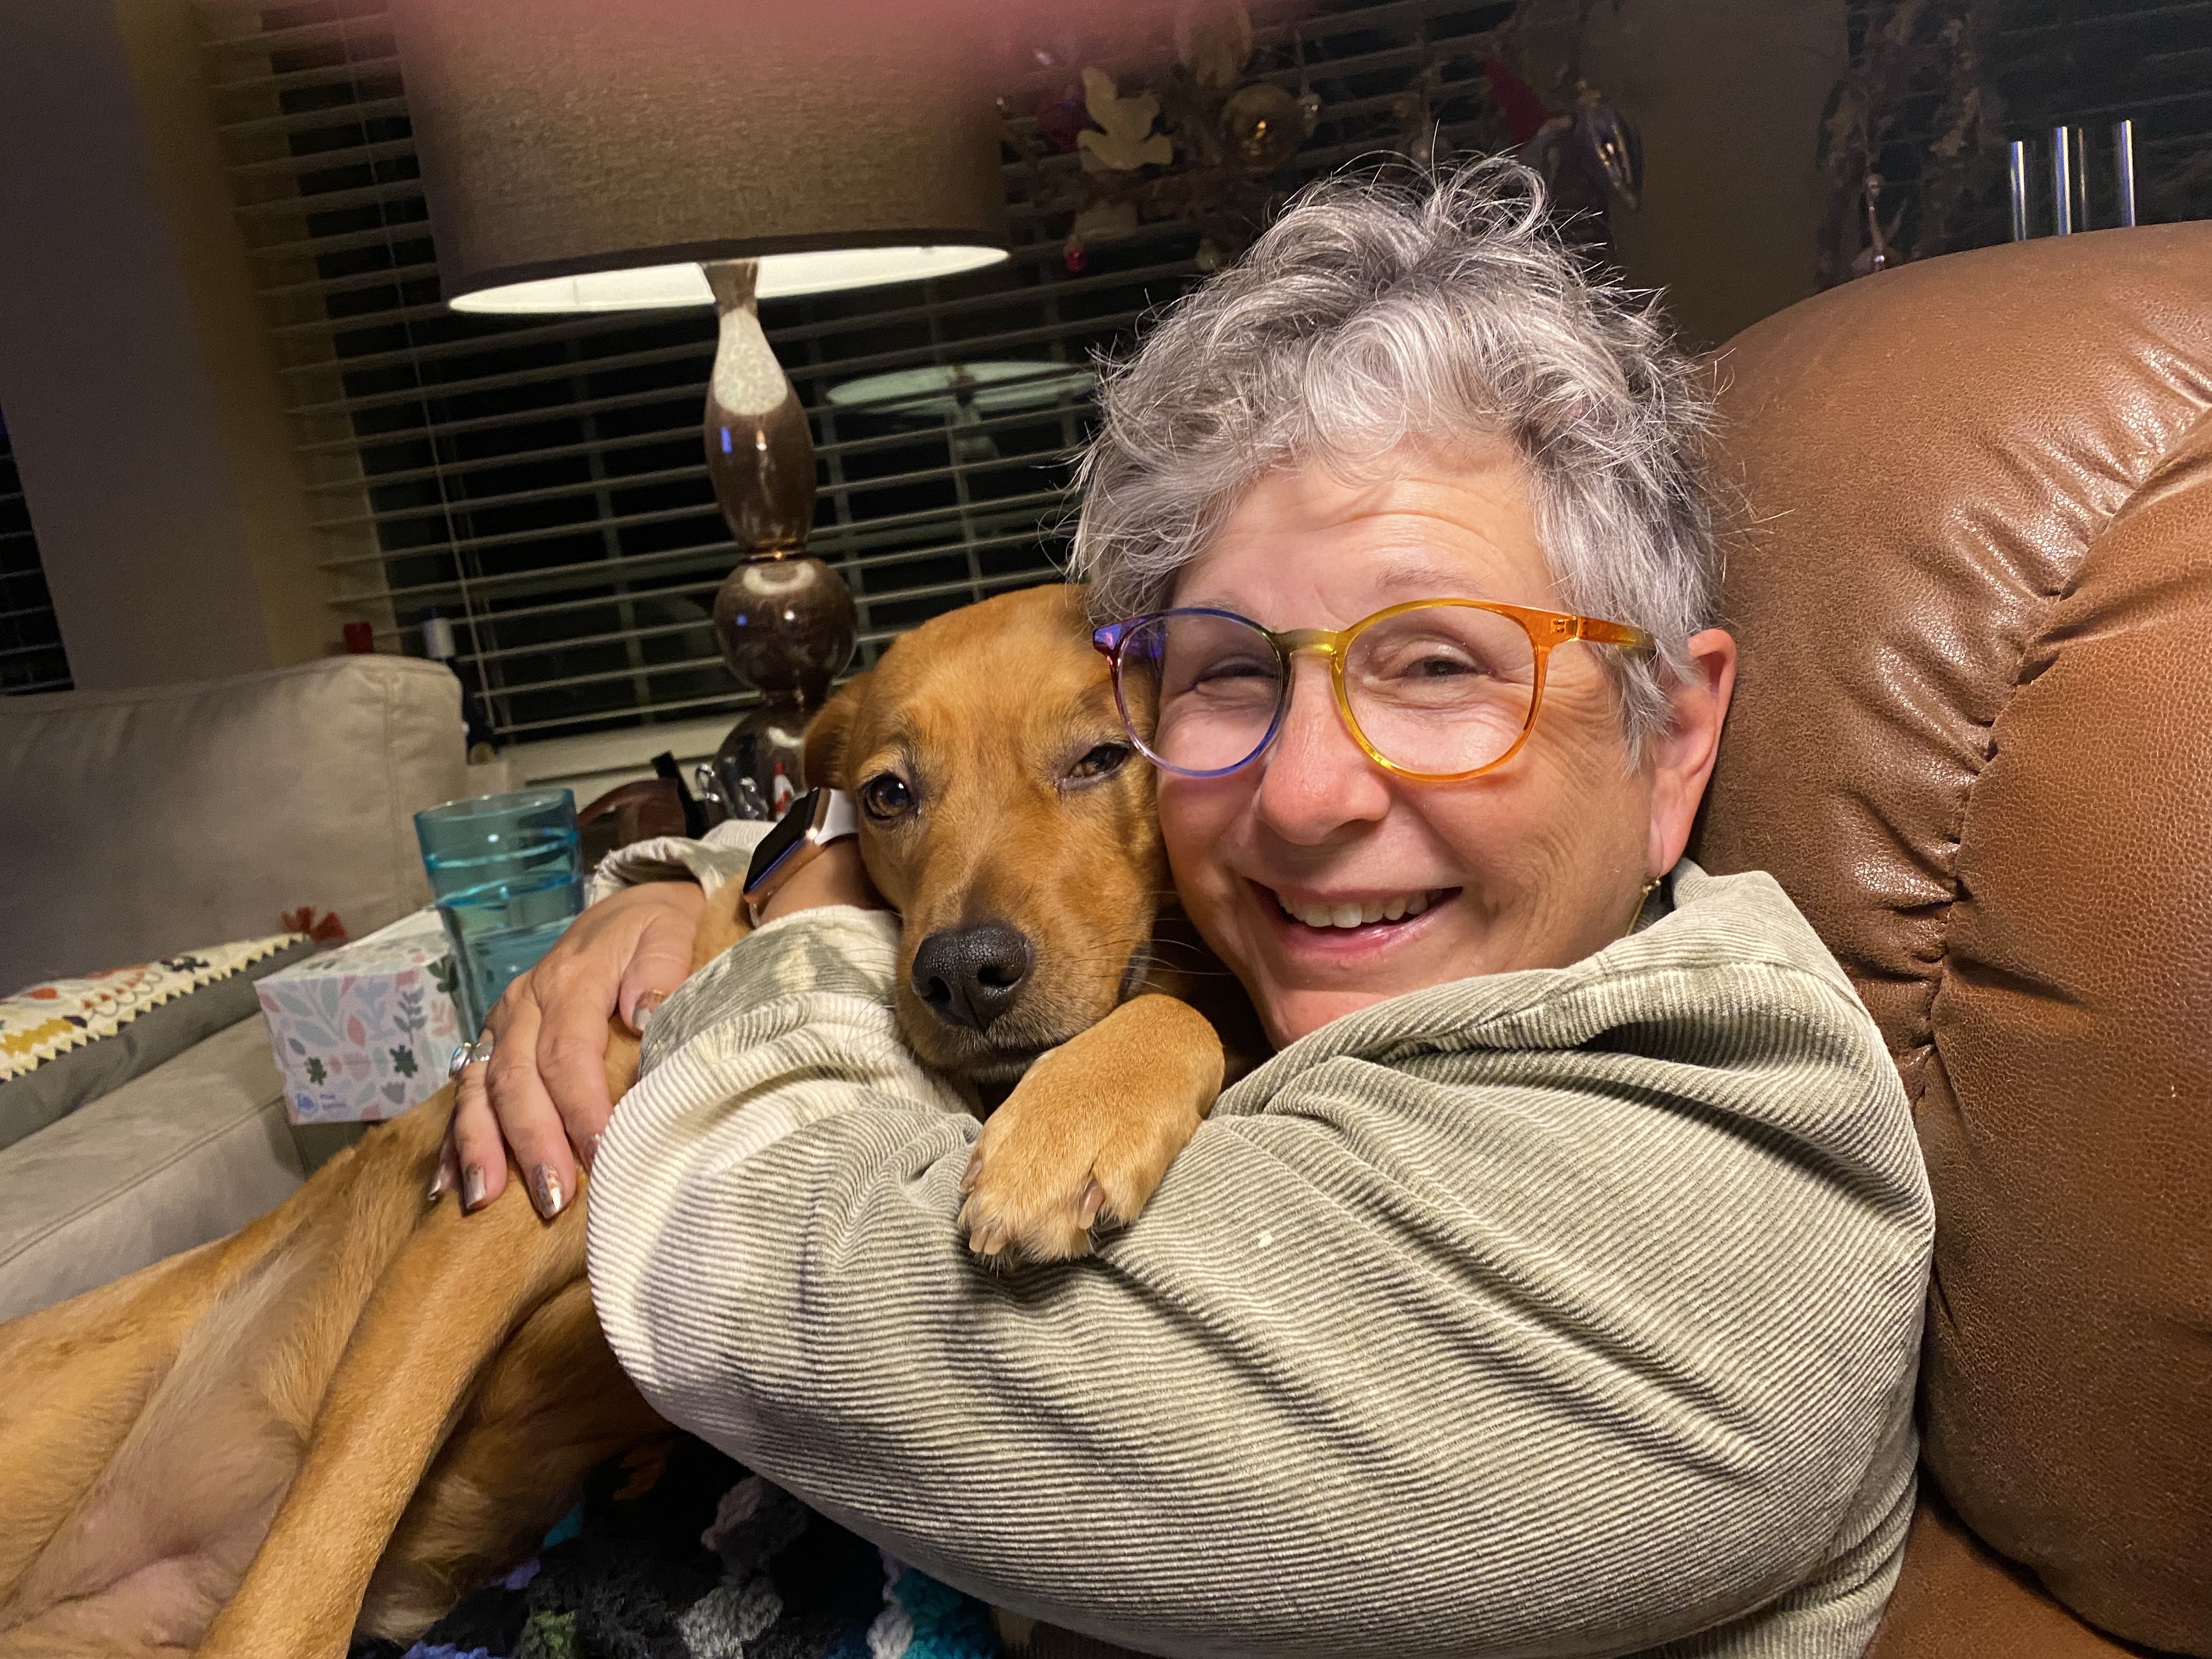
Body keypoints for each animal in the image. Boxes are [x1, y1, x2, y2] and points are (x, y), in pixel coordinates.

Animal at [0, 584, 1252, 1659]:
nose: (960, 974)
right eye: (890, 793)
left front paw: (1078, 1113)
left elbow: (1185, 1006)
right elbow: (332, 1518)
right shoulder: (502, 1205)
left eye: (1104, 757)